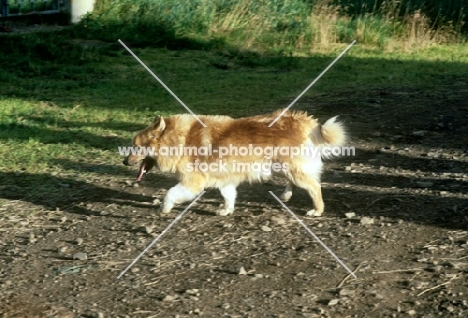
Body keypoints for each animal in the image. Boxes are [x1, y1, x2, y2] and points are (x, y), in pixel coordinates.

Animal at [122, 109, 346, 216]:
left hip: (291, 168)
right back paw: (285, 195)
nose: (124, 161)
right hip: (282, 167)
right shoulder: (225, 180)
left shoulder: (193, 182)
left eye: (136, 147)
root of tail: (304, 121)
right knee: (296, 183)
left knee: (314, 187)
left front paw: (164, 208)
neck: (179, 139)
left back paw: (317, 210)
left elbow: (170, 193)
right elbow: (229, 196)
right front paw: (226, 210)